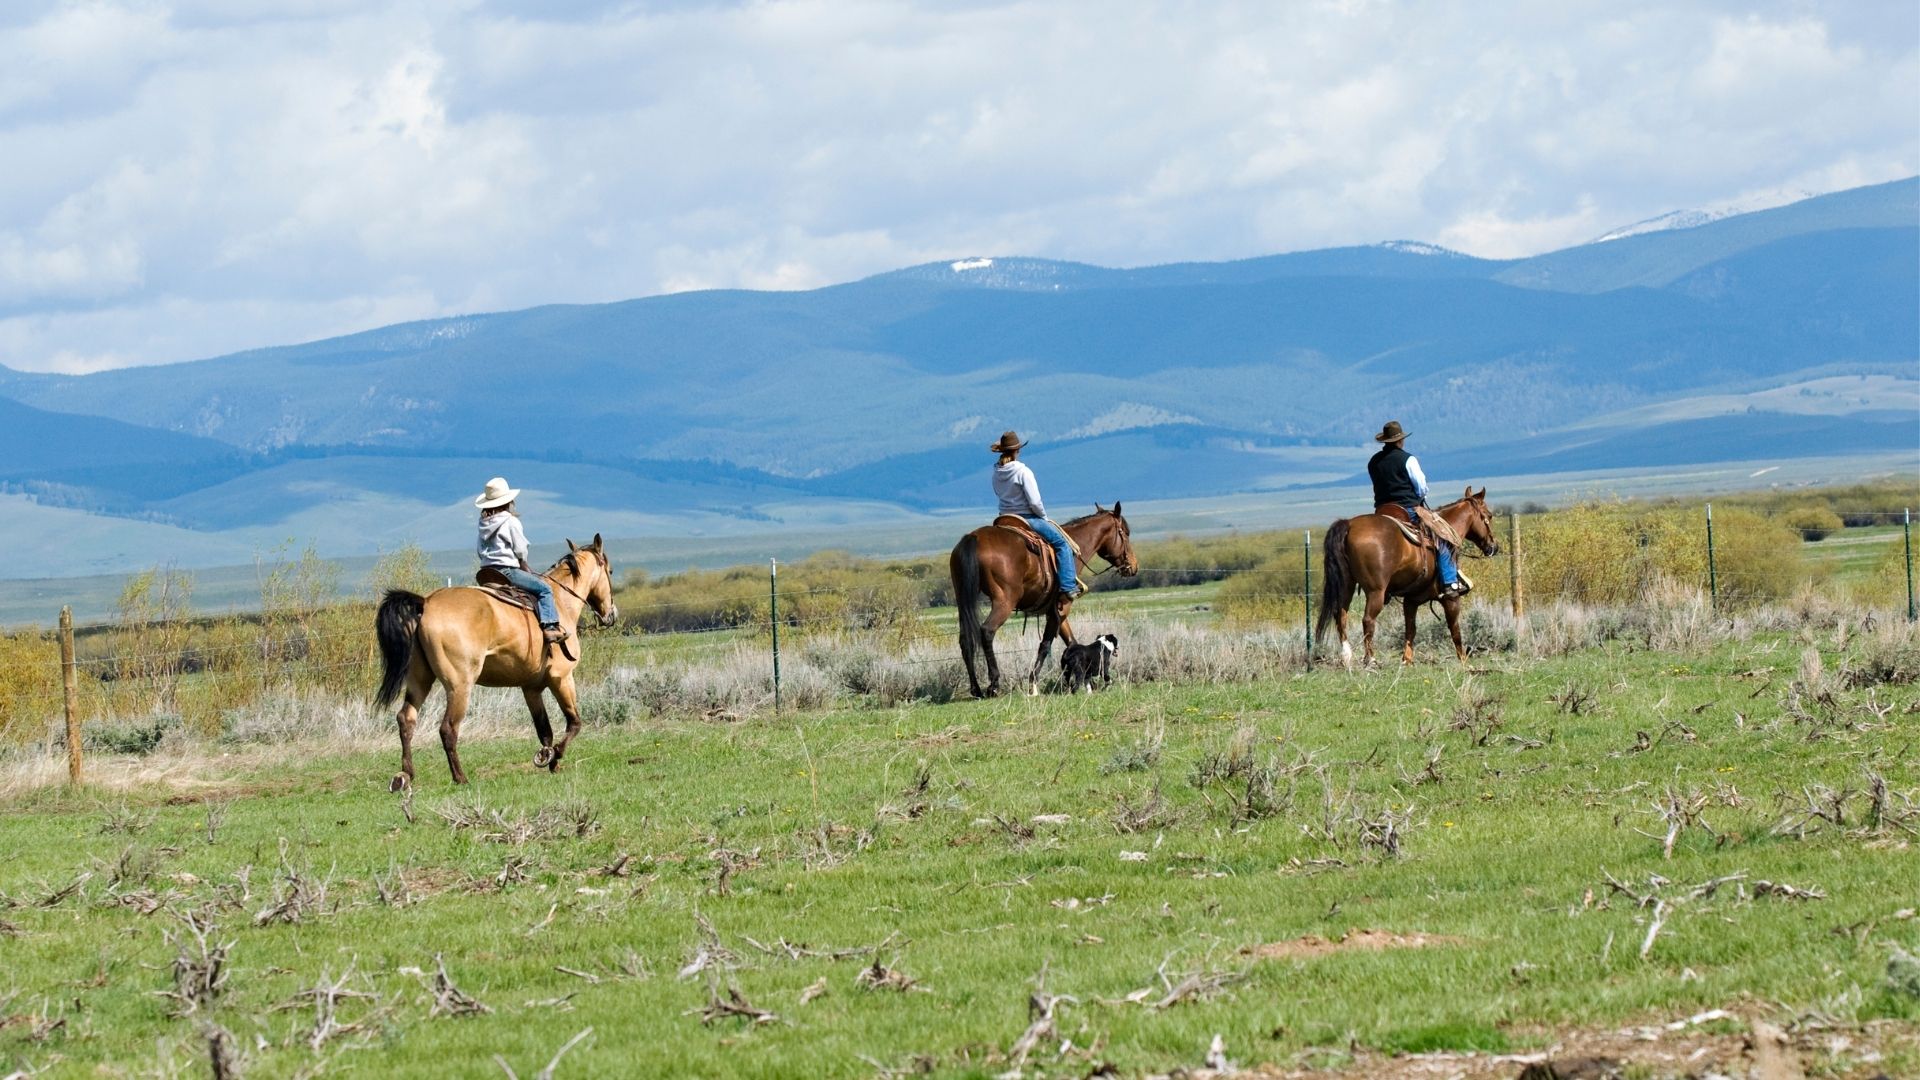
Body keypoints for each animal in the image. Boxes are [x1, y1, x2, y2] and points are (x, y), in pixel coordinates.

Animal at [375, 535, 619, 788]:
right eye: (610, 570)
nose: (611, 614)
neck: (562, 603)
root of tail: (426, 603)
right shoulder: (561, 677)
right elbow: (574, 722)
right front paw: (556, 755)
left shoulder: (531, 688)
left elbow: (545, 730)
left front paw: (549, 759)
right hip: (459, 686)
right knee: (448, 728)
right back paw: (460, 777)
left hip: (419, 680)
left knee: (406, 720)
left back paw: (406, 776)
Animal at [948, 504, 1139, 698]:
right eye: (1126, 533)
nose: (1133, 566)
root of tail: (974, 537)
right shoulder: (1062, 608)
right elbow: (1046, 645)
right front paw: (1033, 684)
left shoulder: (1055, 610)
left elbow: (1071, 641)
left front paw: (1088, 682)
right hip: (1004, 601)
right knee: (987, 631)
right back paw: (993, 684)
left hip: (963, 600)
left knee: (965, 640)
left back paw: (976, 689)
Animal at [1315, 488, 1499, 668]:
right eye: (1489, 515)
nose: (1494, 547)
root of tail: (1349, 525)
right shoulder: (1450, 598)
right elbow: (1454, 628)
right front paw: (1463, 660)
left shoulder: (1411, 600)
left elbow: (1410, 628)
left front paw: (1407, 660)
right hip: (1375, 592)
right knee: (1368, 620)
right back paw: (1371, 660)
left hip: (1346, 586)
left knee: (1341, 616)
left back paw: (1347, 656)